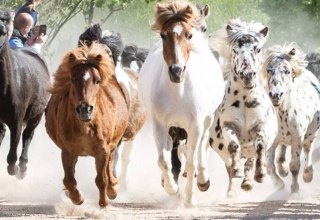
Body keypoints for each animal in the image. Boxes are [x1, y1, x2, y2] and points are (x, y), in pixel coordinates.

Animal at [0, 8, 50, 179]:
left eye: (5, 22)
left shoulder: (17, 119)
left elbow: (12, 156)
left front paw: (15, 168)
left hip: (37, 114)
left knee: (28, 135)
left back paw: (22, 166)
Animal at [44, 42, 129, 208]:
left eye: (96, 80)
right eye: (72, 79)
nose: (85, 109)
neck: (86, 127)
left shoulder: (102, 151)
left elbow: (101, 179)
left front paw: (103, 203)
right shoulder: (68, 151)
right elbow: (69, 180)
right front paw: (77, 198)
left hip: (112, 145)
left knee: (109, 166)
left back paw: (112, 189)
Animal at [138, 0, 225, 206]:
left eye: (189, 34)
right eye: (163, 35)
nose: (176, 71)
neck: (178, 92)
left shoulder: (196, 126)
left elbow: (192, 161)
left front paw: (190, 200)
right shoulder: (162, 126)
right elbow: (165, 160)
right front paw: (171, 187)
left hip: (207, 121)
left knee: (201, 149)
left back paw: (202, 180)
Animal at [209, 19, 278, 196]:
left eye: (257, 49)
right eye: (235, 50)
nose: (247, 75)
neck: (246, 101)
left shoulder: (260, 126)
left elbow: (260, 146)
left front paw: (260, 175)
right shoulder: (228, 126)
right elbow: (234, 146)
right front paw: (237, 171)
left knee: (250, 160)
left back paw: (247, 182)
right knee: (230, 164)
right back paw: (232, 190)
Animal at [262, 42, 320, 193]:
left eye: (287, 71)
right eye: (269, 70)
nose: (275, 95)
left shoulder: (297, 140)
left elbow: (295, 166)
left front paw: (295, 189)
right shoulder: (271, 142)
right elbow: (270, 167)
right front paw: (279, 184)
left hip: (310, 134)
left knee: (308, 149)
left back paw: (308, 175)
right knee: (282, 149)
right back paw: (282, 169)